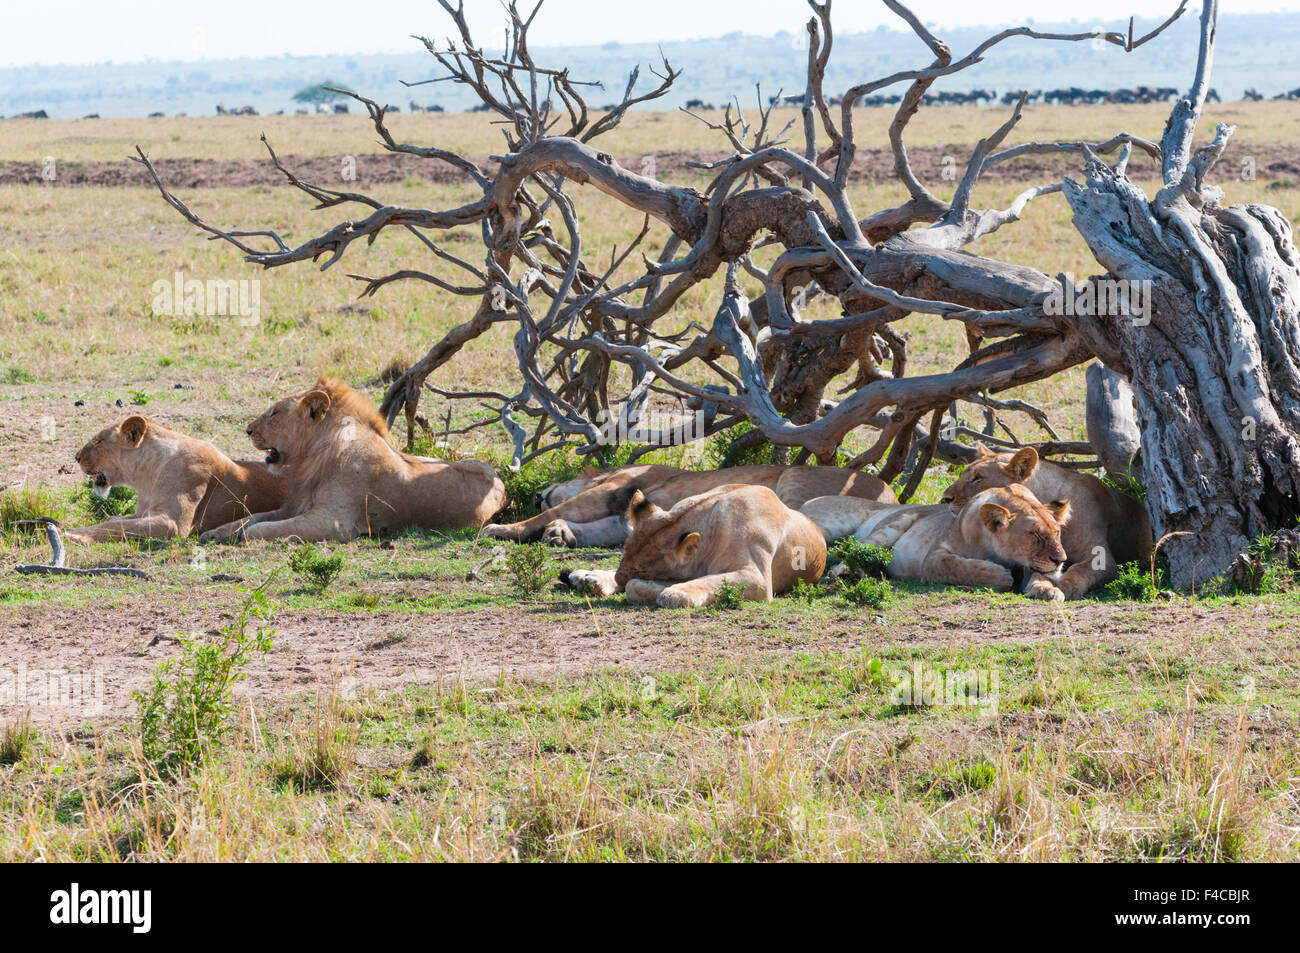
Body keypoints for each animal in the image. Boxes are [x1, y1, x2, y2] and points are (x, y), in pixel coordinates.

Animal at [66, 416, 287, 543]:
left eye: (98, 441)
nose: (76, 457)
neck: (147, 477)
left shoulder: (172, 523)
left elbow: (115, 526)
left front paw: (74, 535)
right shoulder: (144, 513)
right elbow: (114, 520)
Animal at [200, 377, 504, 543]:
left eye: (274, 413)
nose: (248, 430)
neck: (314, 456)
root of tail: (500, 483)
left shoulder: (334, 522)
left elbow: (259, 528)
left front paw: (243, 536)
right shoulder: (296, 505)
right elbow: (251, 518)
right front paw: (215, 532)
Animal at [564, 483, 826, 608]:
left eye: (643, 569)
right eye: (623, 554)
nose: (619, 577)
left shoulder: (757, 578)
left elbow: (708, 581)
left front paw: (673, 592)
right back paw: (587, 577)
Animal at [806, 483, 1071, 603]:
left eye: (1056, 532)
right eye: (1034, 534)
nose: (1061, 560)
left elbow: (1040, 574)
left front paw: (1046, 589)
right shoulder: (934, 556)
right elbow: (959, 567)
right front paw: (1001, 576)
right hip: (892, 523)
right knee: (851, 553)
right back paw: (847, 573)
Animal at [941, 444, 1154, 595]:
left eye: (977, 478)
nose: (945, 498)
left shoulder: (1103, 558)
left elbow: (1081, 569)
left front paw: (1065, 586)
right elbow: (1043, 568)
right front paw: (1043, 587)